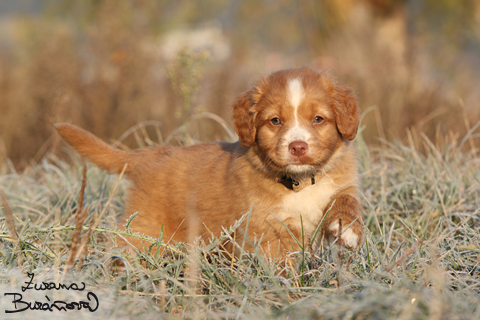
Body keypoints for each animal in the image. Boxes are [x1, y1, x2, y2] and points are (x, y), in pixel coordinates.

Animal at [56, 66, 362, 258]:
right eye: (275, 121)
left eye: (318, 119)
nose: (298, 147)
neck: (299, 182)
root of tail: (147, 154)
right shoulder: (265, 229)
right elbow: (280, 263)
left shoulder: (341, 185)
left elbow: (346, 202)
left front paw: (347, 230)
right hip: (145, 231)